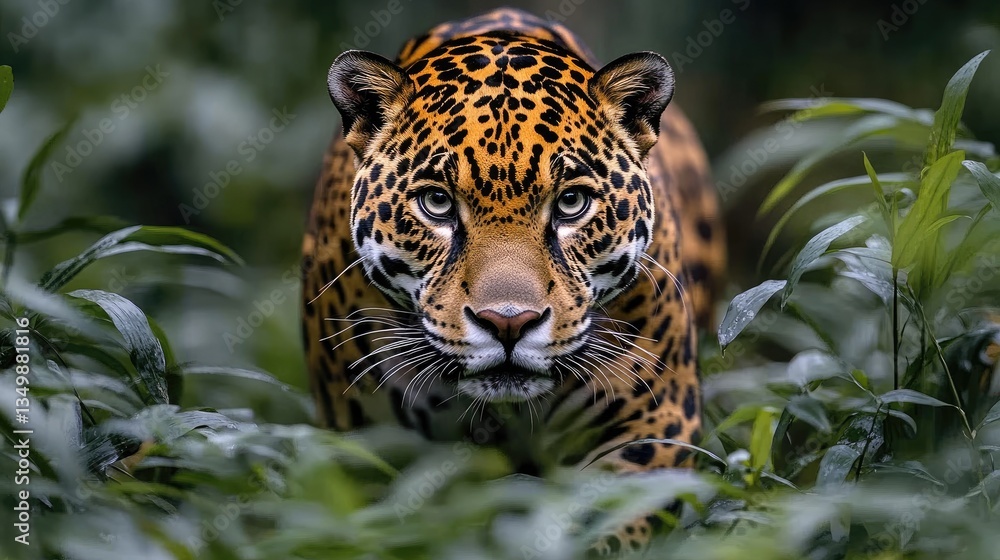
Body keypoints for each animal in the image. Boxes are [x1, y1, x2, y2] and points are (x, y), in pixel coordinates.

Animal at [300, 7, 726, 553]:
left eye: (571, 203)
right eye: (436, 202)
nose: (508, 323)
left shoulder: (654, 422)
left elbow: (610, 522)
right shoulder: (366, 441)